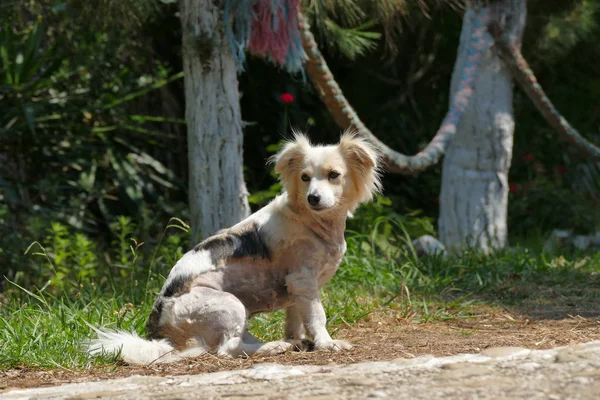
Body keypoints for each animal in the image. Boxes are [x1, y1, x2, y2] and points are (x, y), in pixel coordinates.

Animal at [86, 131, 382, 362]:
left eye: (334, 175)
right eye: (305, 178)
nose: (313, 198)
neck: (310, 221)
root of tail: (160, 334)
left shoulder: (296, 289)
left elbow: (295, 318)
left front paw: (299, 338)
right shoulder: (304, 280)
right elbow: (317, 317)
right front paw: (326, 343)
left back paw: (285, 343)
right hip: (230, 304)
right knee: (228, 349)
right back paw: (273, 347)